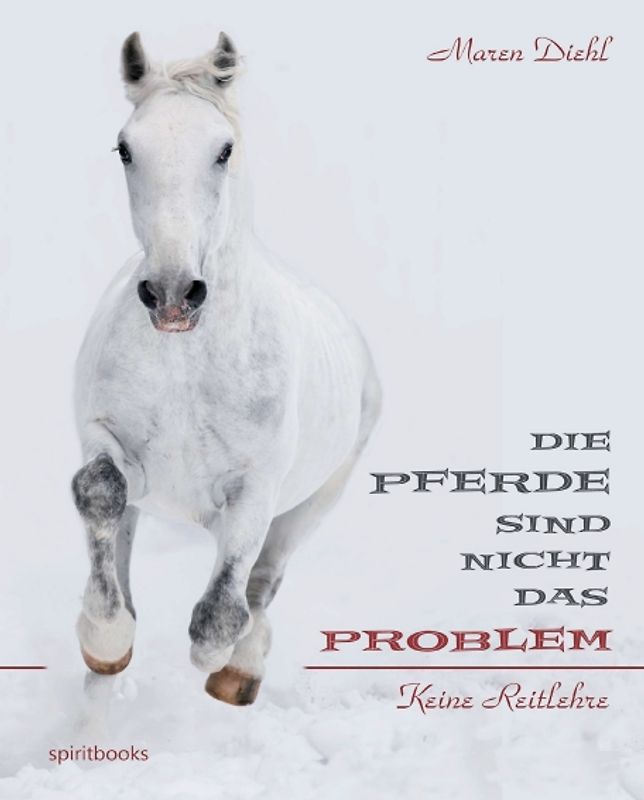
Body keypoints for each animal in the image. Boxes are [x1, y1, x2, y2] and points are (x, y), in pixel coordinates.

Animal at [71, 31, 381, 706]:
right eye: (125, 148)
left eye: (224, 149)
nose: (171, 295)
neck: (187, 369)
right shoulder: (105, 440)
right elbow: (100, 492)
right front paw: (106, 639)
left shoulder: (255, 491)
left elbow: (220, 614)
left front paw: (221, 659)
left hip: (315, 501)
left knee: (261, 585)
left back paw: (241, 673)